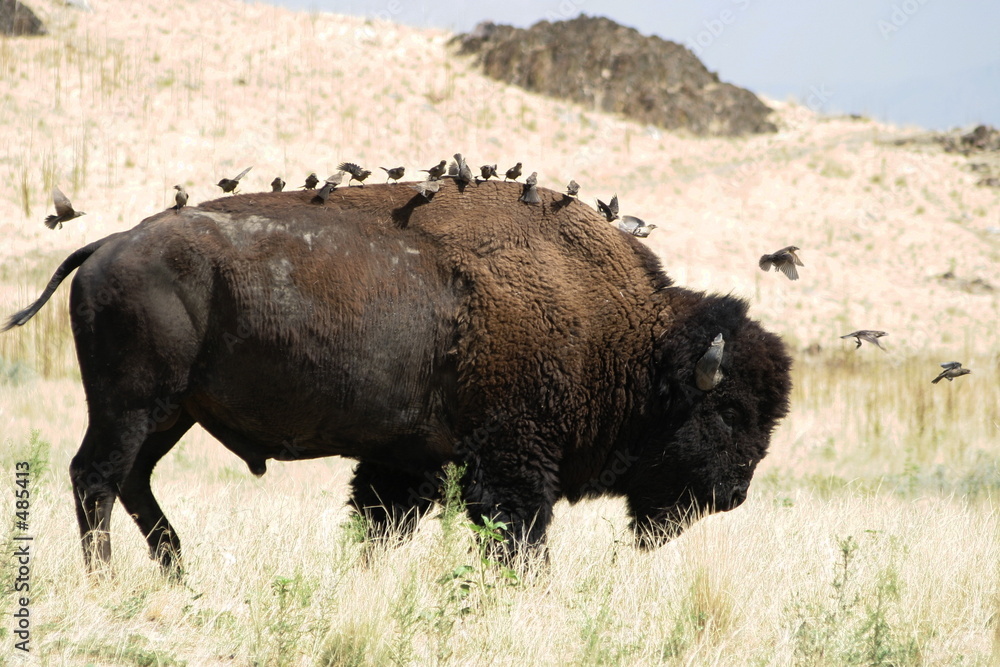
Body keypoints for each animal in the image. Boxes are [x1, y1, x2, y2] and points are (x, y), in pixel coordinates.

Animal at [4, 179, 791, 573]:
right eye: (728, 412)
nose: (735, 493)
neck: (624, 337)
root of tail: (106, 246)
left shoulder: (408, 463)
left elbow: (377, 525)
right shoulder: (510, 463)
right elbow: (518, 540)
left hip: (172, 414)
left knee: (132, 482)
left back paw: (176, 567)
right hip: (132, 405)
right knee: (96, 478)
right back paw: (109, 580)